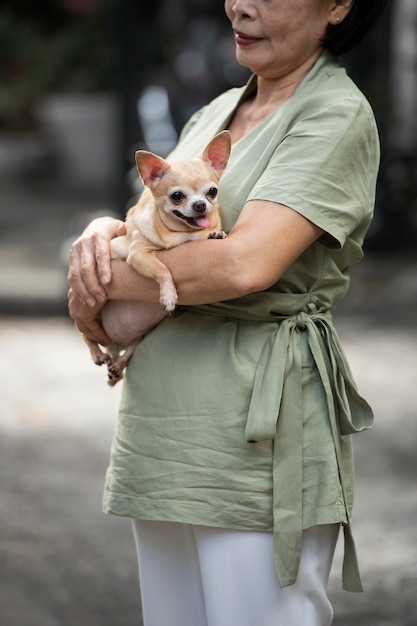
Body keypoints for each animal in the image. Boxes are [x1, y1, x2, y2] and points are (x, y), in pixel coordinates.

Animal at [82, 129, 229, 382]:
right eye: (177, 196)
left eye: (212, 192)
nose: (200, 205)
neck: (183, 234)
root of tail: (114, 343)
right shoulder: (138, 254)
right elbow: (163, 269)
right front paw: (169, 296)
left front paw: (216, 233)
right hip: (91, 314)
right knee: (87, 336)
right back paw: (97, 354)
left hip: (139, 334)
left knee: (130, 348)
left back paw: (118, 365)